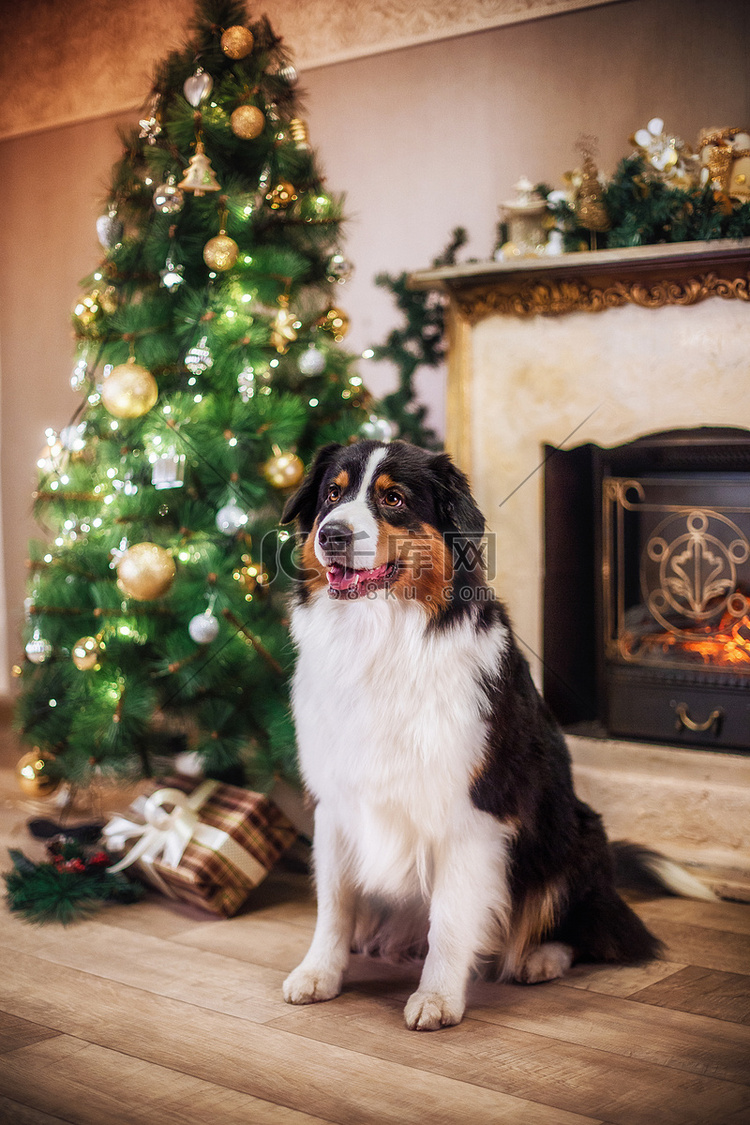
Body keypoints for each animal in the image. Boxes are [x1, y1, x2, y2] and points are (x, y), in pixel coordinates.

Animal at [278, 436, 715, 1030]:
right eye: (332, 494)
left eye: (393, 499)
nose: (332, 535)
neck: (381, 640)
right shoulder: (335, 799)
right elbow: (334, 902)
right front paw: (319, 972)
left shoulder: (475, 809)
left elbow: (450, 918)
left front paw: (438, 997)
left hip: (574, 834)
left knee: (591, 931)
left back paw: (539, 958)